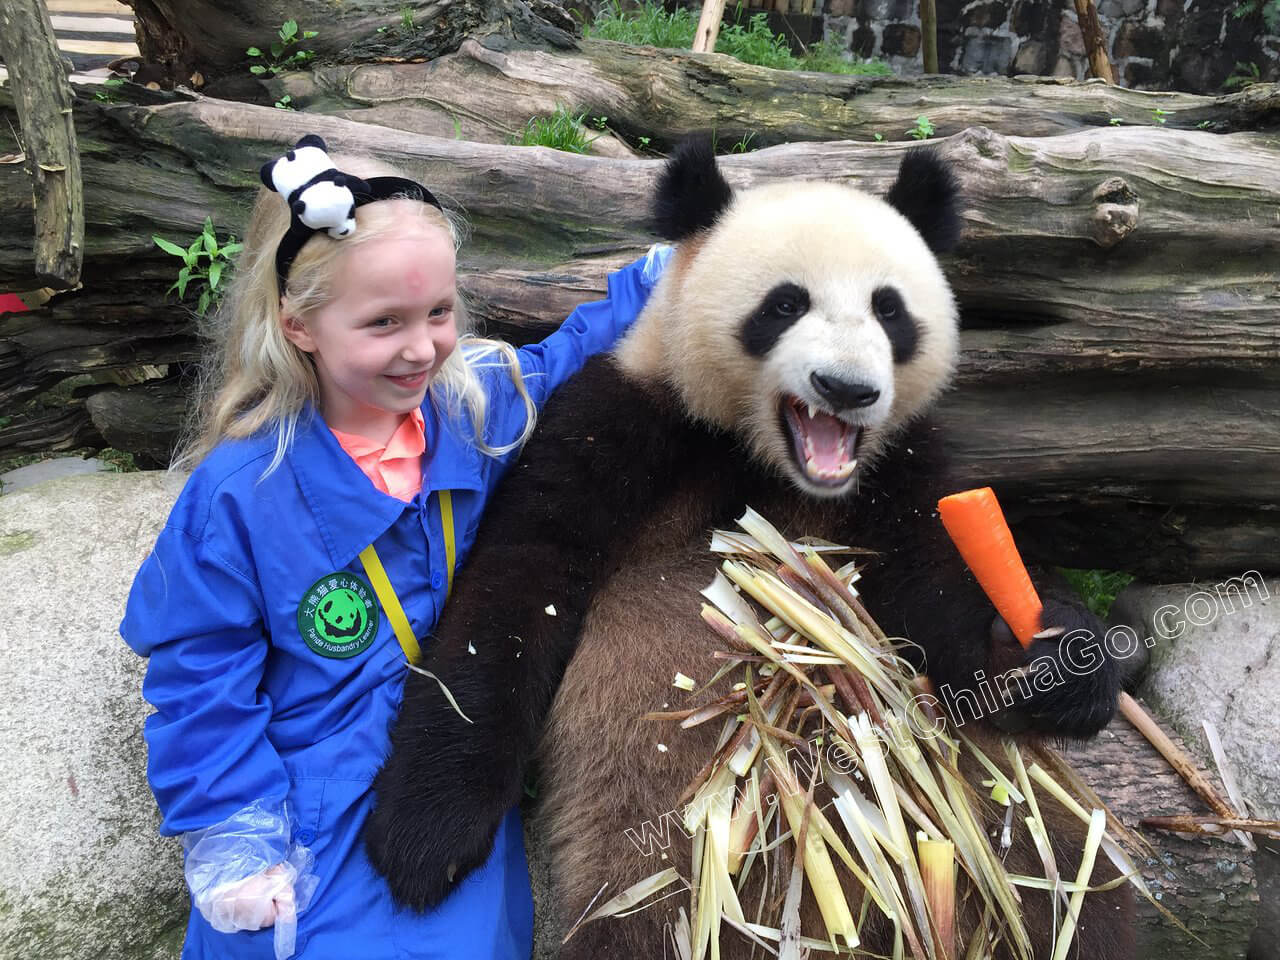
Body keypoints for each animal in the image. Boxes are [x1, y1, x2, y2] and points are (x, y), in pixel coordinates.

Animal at [363, 138, 1131, 957]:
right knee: (643, 905)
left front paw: (1059, 657)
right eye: (785, 304)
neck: (766, 460)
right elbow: (521, 581)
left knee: (1070, 887)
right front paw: (425, 839)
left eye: (889, 309)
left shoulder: (895, 472)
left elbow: (940, 598)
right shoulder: (627, 420)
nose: (846, 389)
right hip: (661, 835)